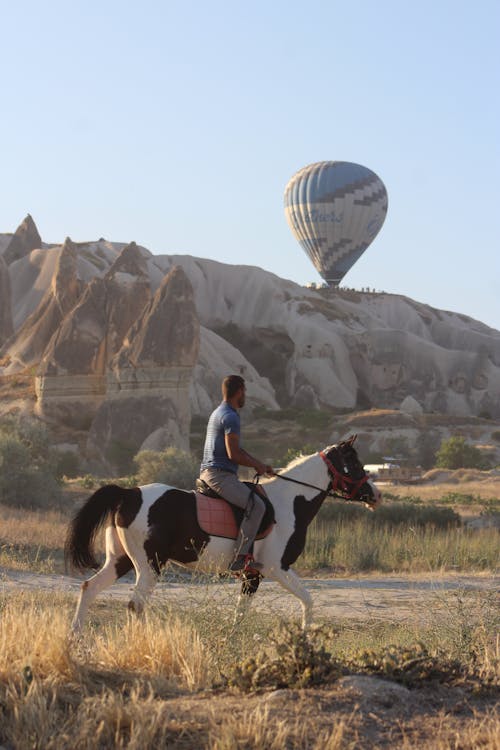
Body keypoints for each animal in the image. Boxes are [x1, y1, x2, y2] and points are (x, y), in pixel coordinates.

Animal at [65, 438, 378, 632]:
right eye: (355, 464)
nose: (376, 494)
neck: (291, 500)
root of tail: (129, 493)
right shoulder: (274, 569)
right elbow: (307, 600)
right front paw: (303, 637)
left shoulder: (254, 575)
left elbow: (243, 613)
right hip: (149, 565)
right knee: (135, 605)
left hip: (120, 560)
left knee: (89, 588)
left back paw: (75, 637)